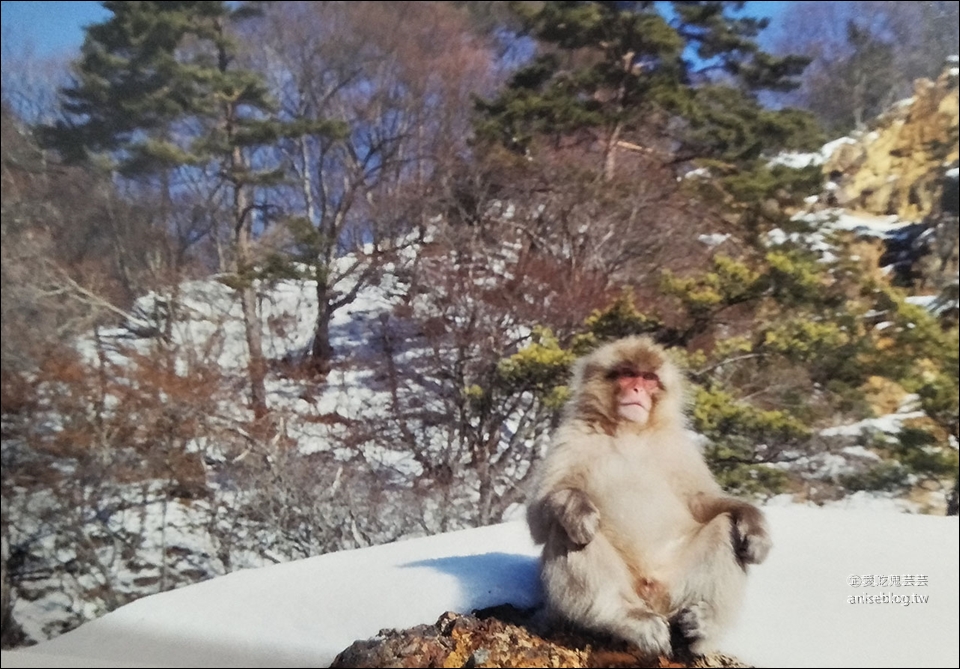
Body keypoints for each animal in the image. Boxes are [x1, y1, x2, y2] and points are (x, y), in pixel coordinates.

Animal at [528, 336, 768, 656]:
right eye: (628, 373)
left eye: (649, 378)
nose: (637, 390)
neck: (630, 432)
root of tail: (650, 596)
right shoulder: (571, 437)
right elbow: (540, 519)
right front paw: (578, 508)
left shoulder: (679, 447)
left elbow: (701, 502)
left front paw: (753, 525)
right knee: (569, 532)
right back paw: (626, 616)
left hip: (674, 587)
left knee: (723, 526)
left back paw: (704, 625)